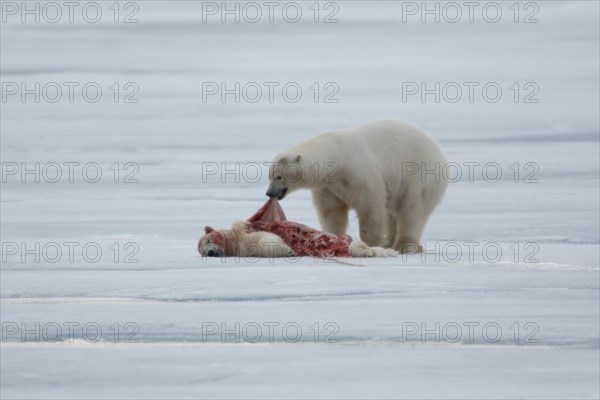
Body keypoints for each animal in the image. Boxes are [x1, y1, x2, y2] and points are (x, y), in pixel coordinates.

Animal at [264, 118, 448, 253]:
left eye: (279, 176)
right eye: (269, 176)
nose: (269, 193)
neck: (336, 157)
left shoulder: (359, 170)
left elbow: (370, 205)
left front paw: (371, 242)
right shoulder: (328, 186)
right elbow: (332, 210)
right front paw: (333, 235)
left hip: (420, 175)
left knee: (412, 208)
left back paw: (403, 246)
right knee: (393, 212)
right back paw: (390, 241)